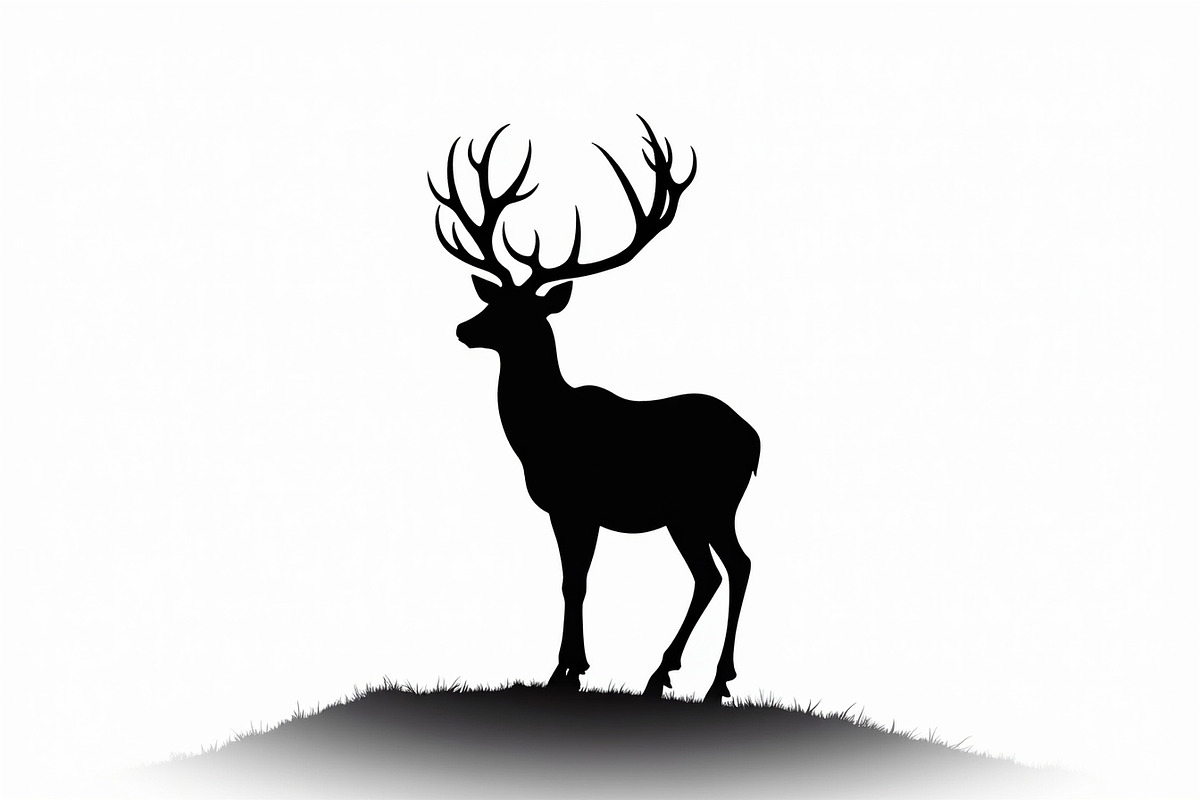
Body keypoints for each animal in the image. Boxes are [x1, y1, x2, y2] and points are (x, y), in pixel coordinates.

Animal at [428, 117, 760, 704]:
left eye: (522, 312)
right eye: (492, 300)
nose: (464, 328)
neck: (540, 432)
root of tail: (757, 441)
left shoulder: (575, 504)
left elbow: (574, 581)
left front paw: (564, 670)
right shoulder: (573, 511)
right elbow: (574, 579)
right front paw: (573, 667)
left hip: (709, 504)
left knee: (732, 568)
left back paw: (706, 679)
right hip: (693, 513)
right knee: (715, 573)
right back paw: (674, 676)